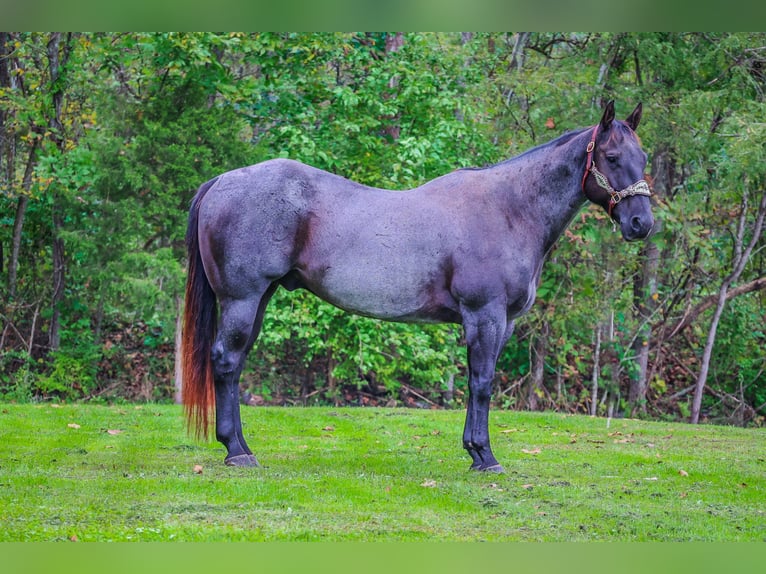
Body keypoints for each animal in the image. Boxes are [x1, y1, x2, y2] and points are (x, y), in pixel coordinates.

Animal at [181, 100, 653, 472]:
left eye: (644, 157)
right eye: (612, 156)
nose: (641, 224)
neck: (510, 209)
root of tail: (222, 181)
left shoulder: (503, 323)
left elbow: (477, 381)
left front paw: (475, 452)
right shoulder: (485, 316)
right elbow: (482, 382)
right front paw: (485, 456)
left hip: (260, 298)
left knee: (236, 364)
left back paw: (240, 446)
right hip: (242, 299)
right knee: (226, 361)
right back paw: (236, 451)